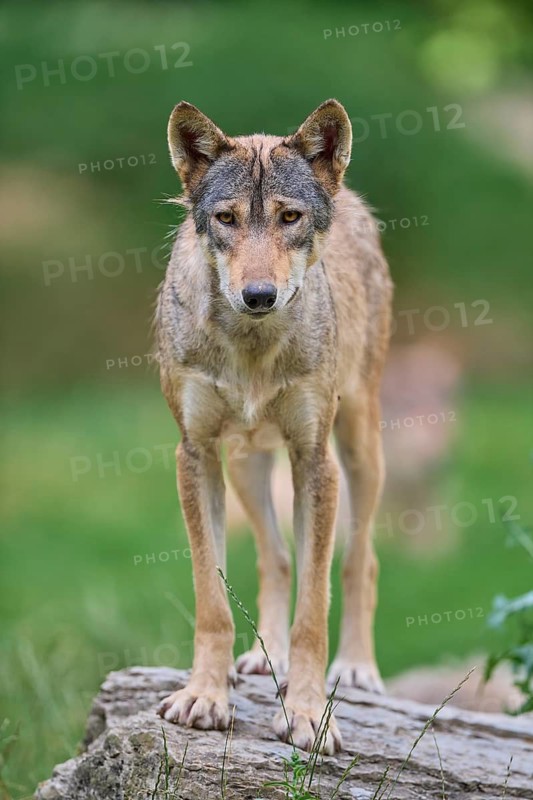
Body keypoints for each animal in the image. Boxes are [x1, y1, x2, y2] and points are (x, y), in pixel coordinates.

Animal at [155, 99, 392, 753]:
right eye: (226, 219)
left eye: (290, 217)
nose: (258, 295)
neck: (252, 348)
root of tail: (351, 195)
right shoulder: (195, 454)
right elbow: (212, 600)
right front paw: (205, 697)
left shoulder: (316, 460)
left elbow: (315, 609)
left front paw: (310, 715)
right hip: (245, 465)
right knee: (276, 557)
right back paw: (268, 659)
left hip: (361, 450)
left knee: (361, 561)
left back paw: (357, 669)